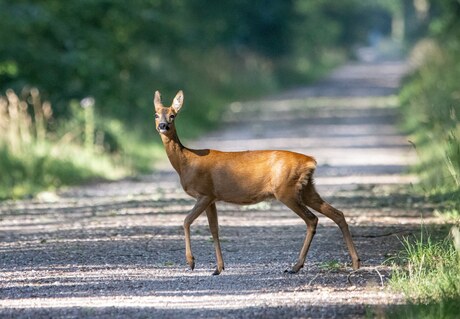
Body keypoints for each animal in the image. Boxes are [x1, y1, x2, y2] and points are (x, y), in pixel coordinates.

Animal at [155, 90, 360, 276]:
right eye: (156, 114)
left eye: (173, 115)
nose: (163, 125)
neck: (186, 162)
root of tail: (311, 161)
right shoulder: (212, 197)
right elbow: (214, 229)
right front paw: (218, 268)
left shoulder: (204, 193)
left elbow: (186, 221)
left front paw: (191, 262)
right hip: (307, 189)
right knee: (337, 214)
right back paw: (355, 262)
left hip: (286, 190)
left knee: (312, 219)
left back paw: (296, 266)